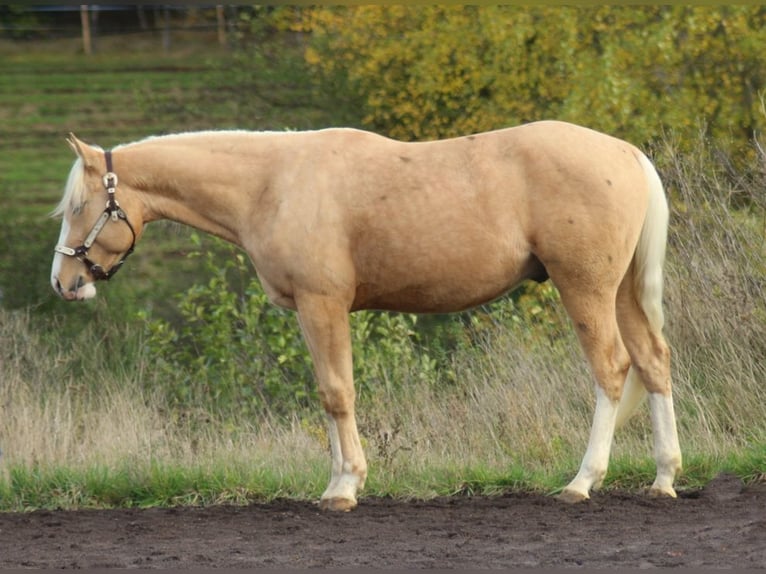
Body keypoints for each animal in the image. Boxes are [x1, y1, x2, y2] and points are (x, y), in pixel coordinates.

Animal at [50, 121, 682, 511]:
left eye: (80, 206)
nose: (64, 283)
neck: (272, 184)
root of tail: (626, 154)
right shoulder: (314, 311)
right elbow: (327, 392)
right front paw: (337, 479)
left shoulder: (322, 304)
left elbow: (337, 393)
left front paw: (345, 487)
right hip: (621, 291)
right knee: (653, 362)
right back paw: (664, 477)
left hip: (586, 289)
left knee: (611, 368)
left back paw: (582, 482)